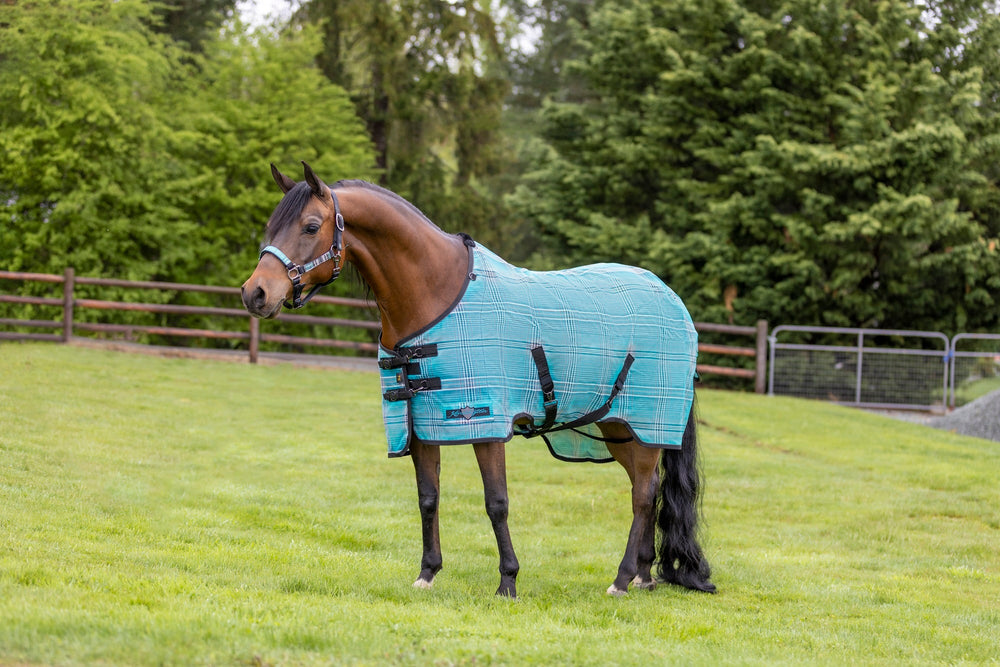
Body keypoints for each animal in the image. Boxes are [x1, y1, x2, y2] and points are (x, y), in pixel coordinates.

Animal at [241, 162, 716, 598]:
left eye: (311, 226)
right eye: (271, 226)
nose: (255, 293)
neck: (435, 294)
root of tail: (673, 299)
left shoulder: (485, 422)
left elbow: (496, 503)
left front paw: (508, 581)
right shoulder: (423, 426)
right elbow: (428, 498)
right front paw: (427, 573)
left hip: (648, 423)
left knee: (643, 495)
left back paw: (621, 579)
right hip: (619, 427)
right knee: (646, 491)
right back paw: (642, 575)